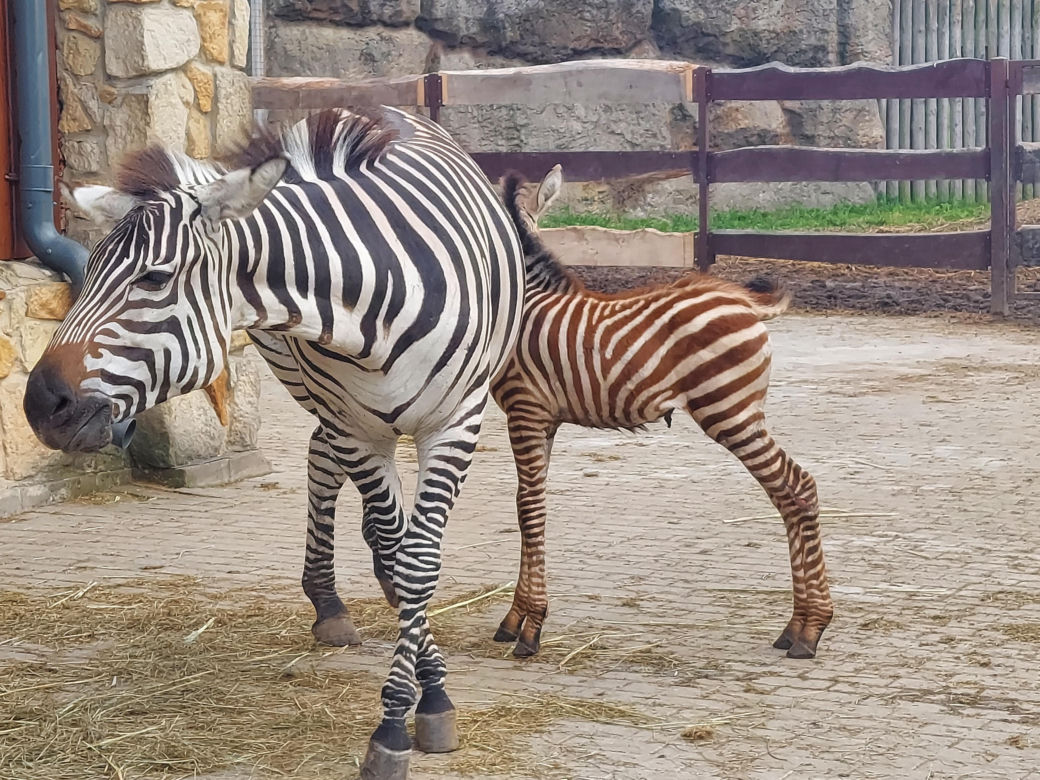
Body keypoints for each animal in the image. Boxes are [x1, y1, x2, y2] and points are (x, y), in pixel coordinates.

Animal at [22, 108, 525, 780]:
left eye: (154, 278)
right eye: (89, 268)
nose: (38, 404)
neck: (371, 301)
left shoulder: (457, 421)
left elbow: (418, 562)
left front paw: (417, 710)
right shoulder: (353, 424)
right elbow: (398, 547)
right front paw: (414, 695)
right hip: (313, 388)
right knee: (326, 463)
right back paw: (331, 604)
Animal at [489, 165, 833, 661]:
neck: (525, 304)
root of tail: (743, 300)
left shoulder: (525, 410)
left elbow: (529, 510)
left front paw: (530, 627)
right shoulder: (545, 420)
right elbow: (528, 507)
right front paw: (517, 616)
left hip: (728, 410)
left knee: (796, 488)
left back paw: (809, 630)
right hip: (737, 411)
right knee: (791, 491)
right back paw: (796, 628)